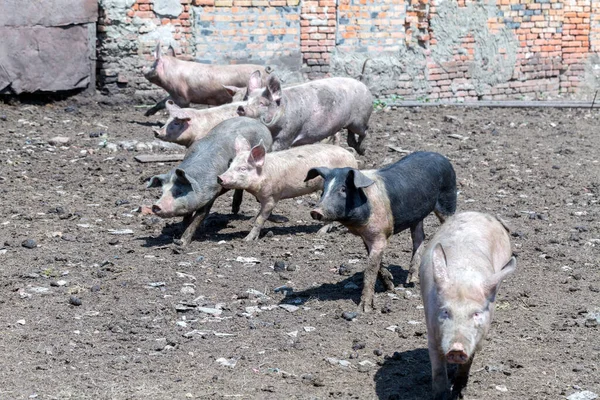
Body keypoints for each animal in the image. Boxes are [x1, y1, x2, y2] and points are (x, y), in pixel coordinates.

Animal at [216, 141, 356, 241]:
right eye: (230, 165)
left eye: (243, 168)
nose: (219, 177)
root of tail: (351, 155)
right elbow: (259, 215)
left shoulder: (272, 197)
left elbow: (260, 218)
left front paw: (247, 240)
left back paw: (320, 233)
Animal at [237, 72, 372, 154]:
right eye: (247, 99)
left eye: (262, 103)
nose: (241, 108)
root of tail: (364, 85)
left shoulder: (288, 134)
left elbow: (277, 148)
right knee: (351, 135)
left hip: (359, 120)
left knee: (365, 130)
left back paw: (363, 150)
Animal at [308, 152, 458, 310]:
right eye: (323, 191)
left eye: (343, 189)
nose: (315, 211)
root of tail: (440, 156)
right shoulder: (367, 236)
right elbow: (376, 264)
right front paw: (390, 286)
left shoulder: (380, 234)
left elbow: (370, 269)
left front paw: (365, 309)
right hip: (417, 215)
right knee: (419, 237)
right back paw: (410, 281)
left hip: (448, 199)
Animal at [418, 211, 516, 398]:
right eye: (445, 311)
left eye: (476, 313)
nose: (457, 349)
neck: (462, 278)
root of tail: (479, 213)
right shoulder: (431, 331)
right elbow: (438, 369)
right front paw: (442, 395)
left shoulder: (479, 337)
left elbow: (468, 363)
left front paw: (459, 392)